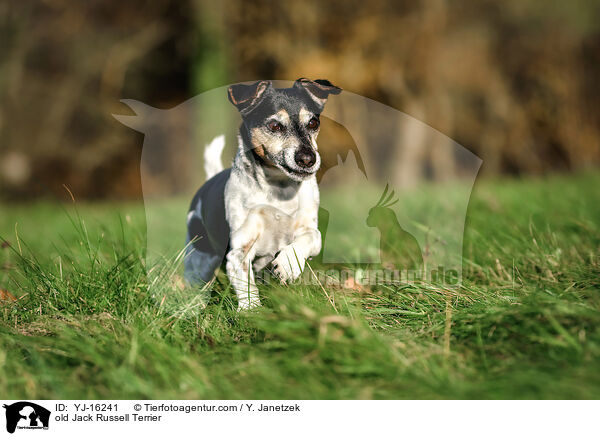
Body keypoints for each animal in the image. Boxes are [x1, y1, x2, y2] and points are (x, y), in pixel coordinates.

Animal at [185, 78, 340, 310]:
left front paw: (288, 264)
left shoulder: (309, 229)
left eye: (313, 123)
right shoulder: (239, 250)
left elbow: (310, 238)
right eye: (275, 125)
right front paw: (252, 310)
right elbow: (246, 285)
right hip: (199, 256)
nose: (308, 159)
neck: (279, 190)